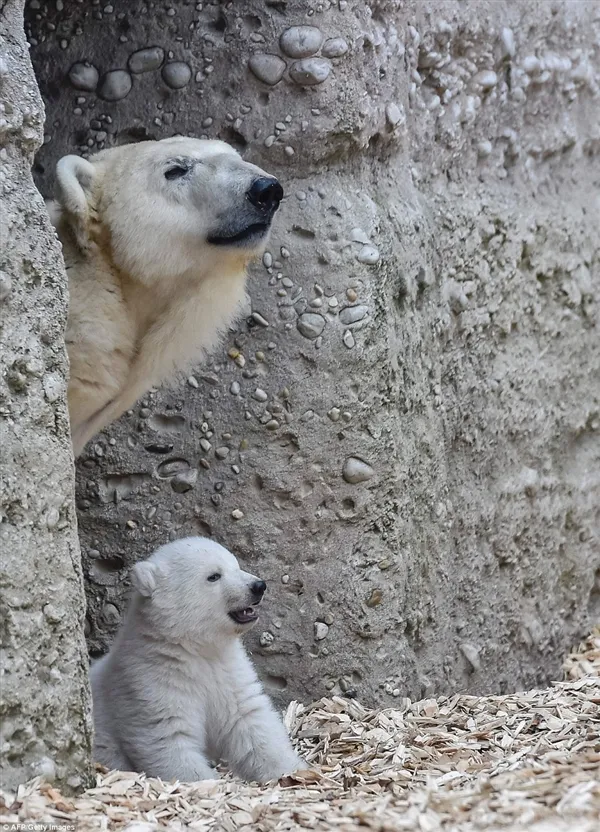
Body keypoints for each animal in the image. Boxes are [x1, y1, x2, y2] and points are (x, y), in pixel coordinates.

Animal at [90, 536, 304, 784]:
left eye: (235, 564)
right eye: (214, 576)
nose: (258, 586)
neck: (195, 648)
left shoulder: (228, 670)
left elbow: (250, 719)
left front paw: (293, 770)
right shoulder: (150, 680)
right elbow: (169, 737)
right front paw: (207, 782)